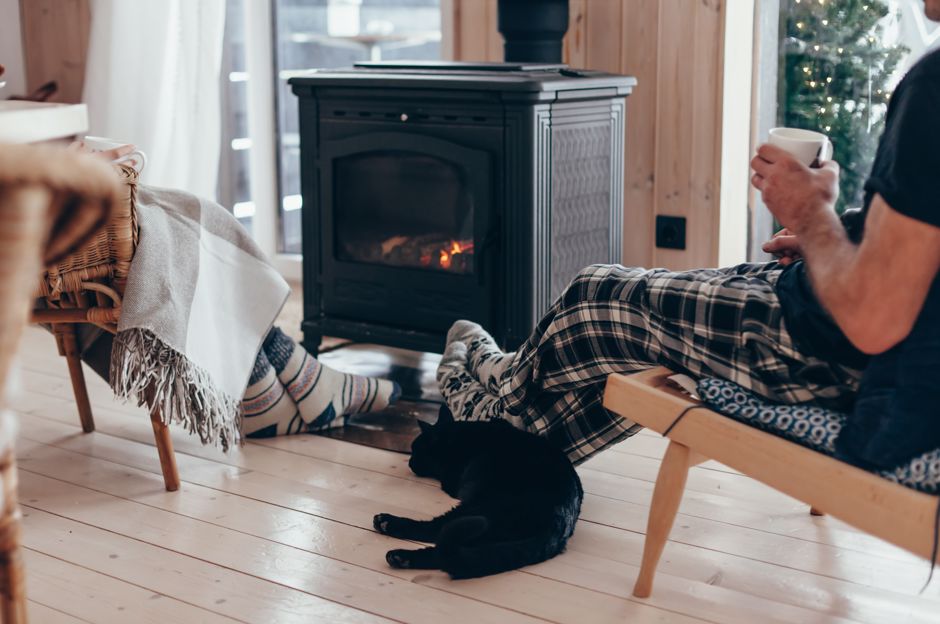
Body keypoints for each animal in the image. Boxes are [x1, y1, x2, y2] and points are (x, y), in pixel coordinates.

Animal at [372, 404, 580, 580]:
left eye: (415, 450)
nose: (409, 462)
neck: (462, 436)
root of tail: (558, 525)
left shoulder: (452, 482)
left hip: (476, 509)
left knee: (435, 530)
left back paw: (390, 529)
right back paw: (401, 558)